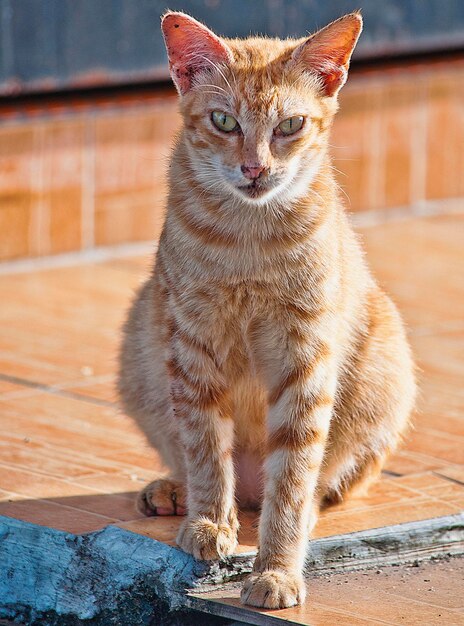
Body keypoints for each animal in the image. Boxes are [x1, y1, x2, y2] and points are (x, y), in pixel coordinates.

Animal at [118, 11, 416, 604]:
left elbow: (292, 480)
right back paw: (176, 492)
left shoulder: (304, 358)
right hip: (141, 345)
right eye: (223, 121)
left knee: (316, 486)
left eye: (290, 125)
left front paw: (277, 570)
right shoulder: (194, 342)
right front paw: (210, 523)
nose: (255, 169)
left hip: (386, 366)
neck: (248, 239)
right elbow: (206, 447)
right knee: (195, 458)